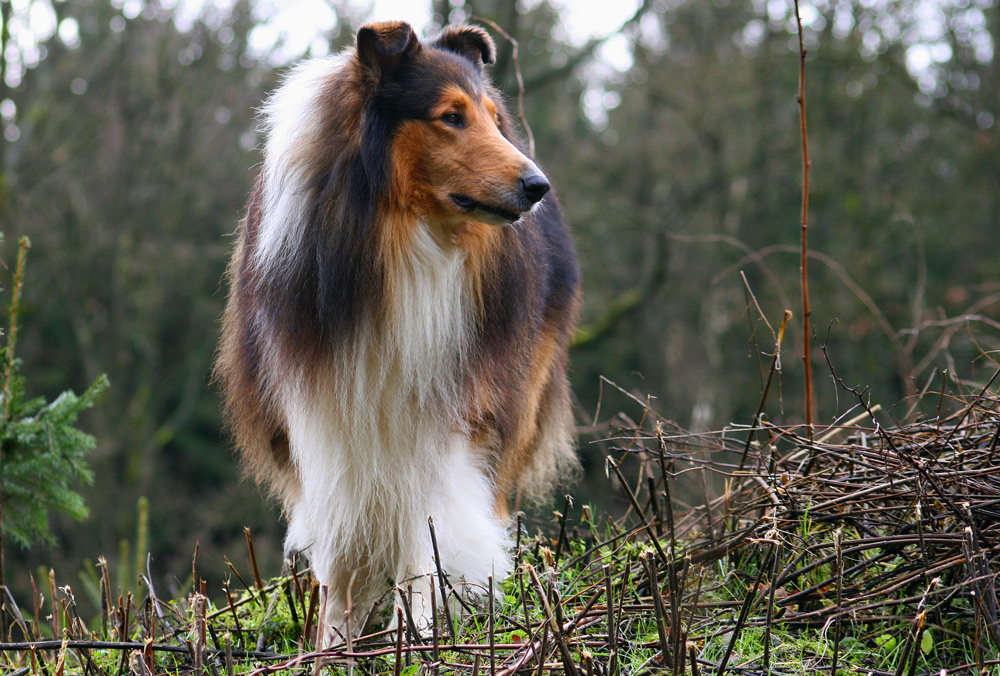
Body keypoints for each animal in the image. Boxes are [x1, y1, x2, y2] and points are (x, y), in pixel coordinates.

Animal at [215, 21, 584, 640]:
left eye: (492, 116)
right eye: (451, 116)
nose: (539, 187)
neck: (402, 240)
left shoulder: (448, 421)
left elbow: (424, 545)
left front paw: (417, 640)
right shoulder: (325, 415)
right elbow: (340, 560)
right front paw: (332, 647)